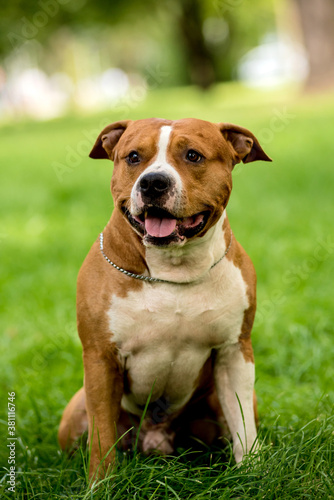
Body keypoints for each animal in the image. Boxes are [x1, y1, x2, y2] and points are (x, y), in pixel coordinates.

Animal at [57, 115, 272, 478]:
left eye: (193, 155)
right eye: (133, 157)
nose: (153, 183)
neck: (173, 270)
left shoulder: (234, 352)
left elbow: (244, 427)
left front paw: (252, 474)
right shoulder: (101, 358)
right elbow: (102, 437)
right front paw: (101, 483)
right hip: (74, 415)